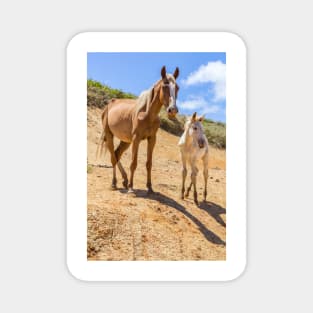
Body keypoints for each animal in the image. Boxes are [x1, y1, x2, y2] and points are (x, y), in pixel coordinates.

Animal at [98, 65, 179, 193]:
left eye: (177, 88)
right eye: (164, 86)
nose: (173, 110)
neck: (147, 114)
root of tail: (109, 105)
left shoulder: (152, 139)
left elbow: (149, 163)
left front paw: (149, 187)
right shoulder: (136, 139)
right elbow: (133, 163)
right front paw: (131, 188)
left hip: (126, 141)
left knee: (116, 154)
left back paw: (124, 180)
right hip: (109, 135)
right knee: (113, 157)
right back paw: (114, 183)